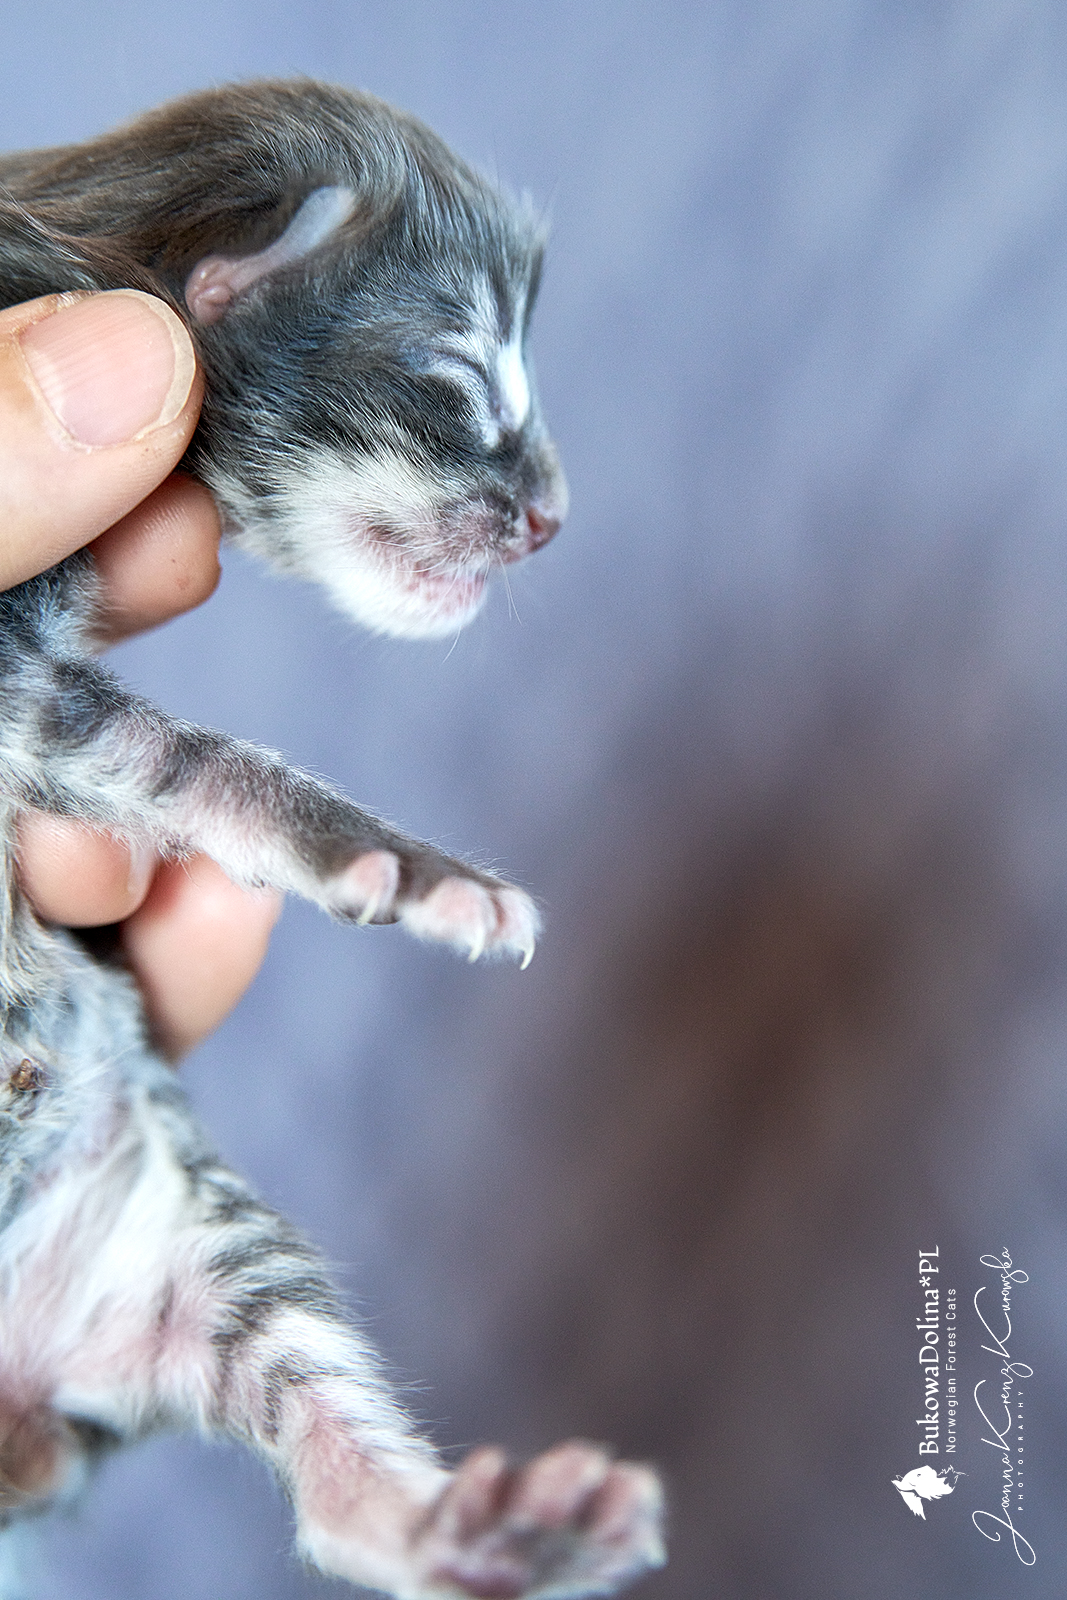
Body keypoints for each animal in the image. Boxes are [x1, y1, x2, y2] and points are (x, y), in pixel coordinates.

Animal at [0, 81, 663, 1600]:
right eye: (459, 377)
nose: (553, 522)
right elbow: (197, 762)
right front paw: (416, 870)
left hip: (187, 1248)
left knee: (329, 1461)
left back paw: (483, 1532)